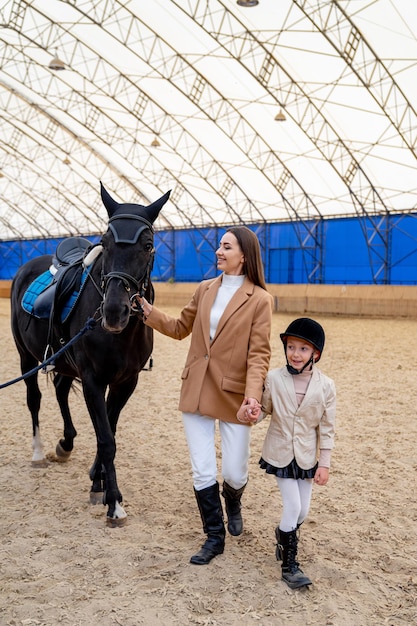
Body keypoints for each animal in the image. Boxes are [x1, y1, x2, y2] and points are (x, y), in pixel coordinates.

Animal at [10, 183, 169, 524]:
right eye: (105, 243)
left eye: (148, 245)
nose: (114, 312)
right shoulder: (94, 379)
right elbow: (106, 439)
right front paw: (114, 502)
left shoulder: (126, 382)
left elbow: (108, 430)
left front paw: (98, 482)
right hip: (27, 357)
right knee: (34, 398)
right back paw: (39, 452)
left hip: (63, 361)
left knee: (59, 390)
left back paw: (65, 444)